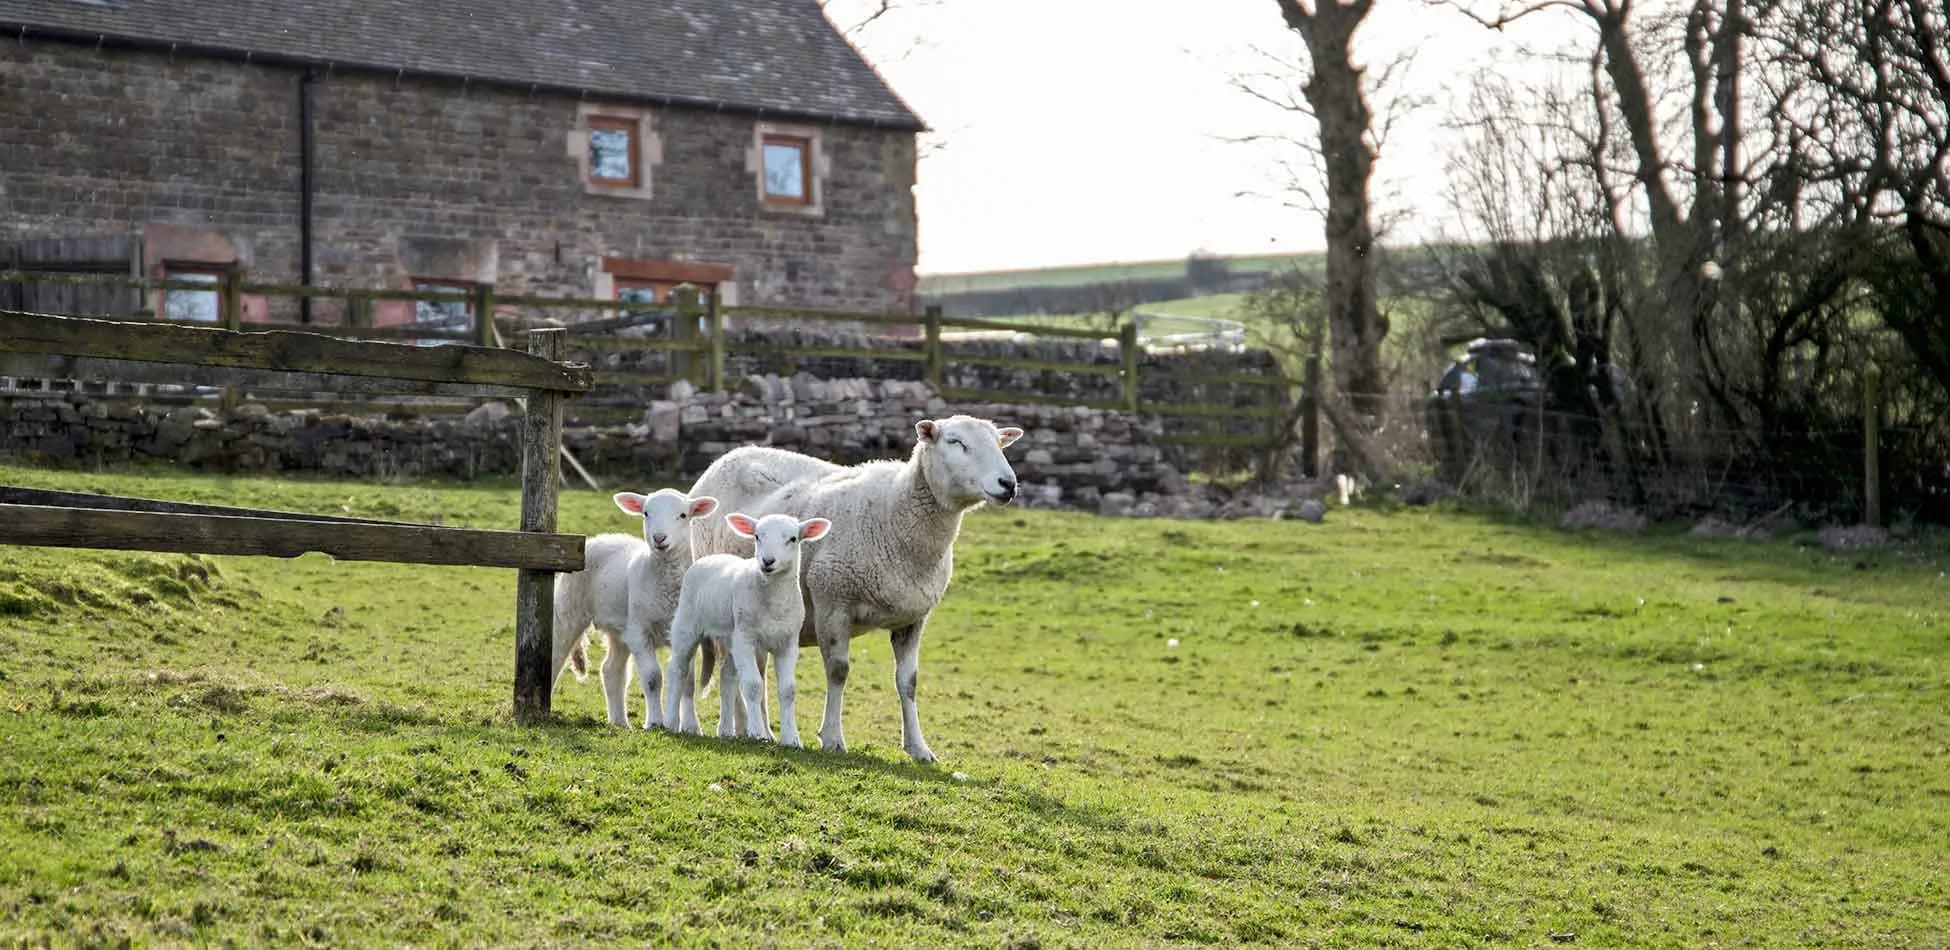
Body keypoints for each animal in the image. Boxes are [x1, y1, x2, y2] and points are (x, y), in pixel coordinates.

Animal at [550, 488, 718, 729]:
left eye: (683, 515)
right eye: (646, 513)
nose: (659, 538)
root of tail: (601, 537)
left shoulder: (686, 633)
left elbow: (688, 682)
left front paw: (692, 727)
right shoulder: (640, 631)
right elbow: (653, 678)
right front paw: (655, 722)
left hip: (621, 629)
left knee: (611, 670)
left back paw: (620, 722)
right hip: (570, 607)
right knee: (556, 654)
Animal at [662, 512, 833, 746]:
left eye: (793, 539)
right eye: (757, 536)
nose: (767, 561)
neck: (774, 602)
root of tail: (708, 558)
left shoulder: (788, 642)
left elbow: (788, 690)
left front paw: (791, 738)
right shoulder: (746, 638)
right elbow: (753, 686)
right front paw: (757, 733)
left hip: (729, 638)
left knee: (726, 677)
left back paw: (725, 730)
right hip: (687, 623)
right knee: (677, 669)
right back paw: (670, 722)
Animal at [686, 414, 1023, 762]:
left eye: (1000, 444)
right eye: (956, 442)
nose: (1008, 484)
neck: (895, 513)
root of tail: (728, 455)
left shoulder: (914, 618)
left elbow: (909, 682)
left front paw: (918, 747)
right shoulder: (833, 603)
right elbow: (838, 671)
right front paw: (833, 738)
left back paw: (752, 729)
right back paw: (753, 729)